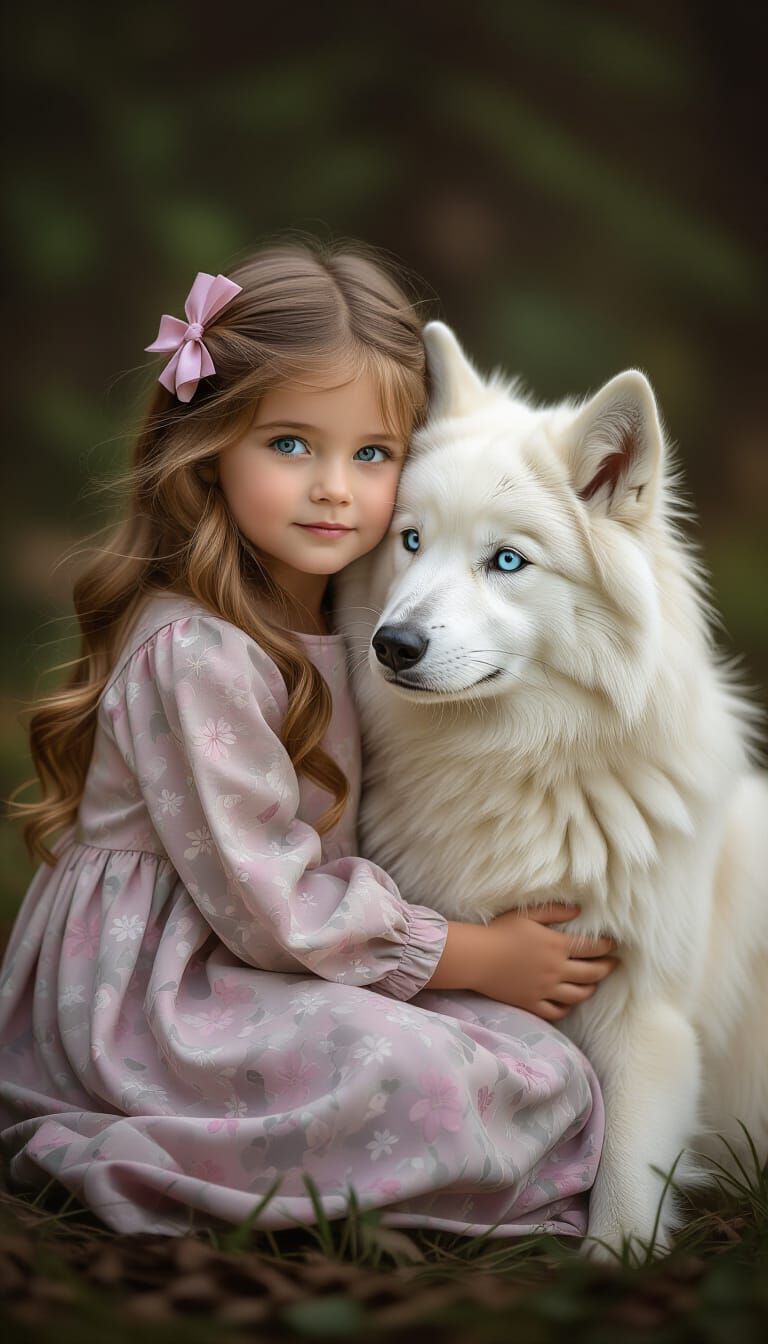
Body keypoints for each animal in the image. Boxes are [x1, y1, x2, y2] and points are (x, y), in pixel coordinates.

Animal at [334, 320, 768, 1257]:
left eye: (508, 561)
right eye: (410, 540)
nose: (393, 646)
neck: (523, 765)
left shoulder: (646, 1016)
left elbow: (627, 1188)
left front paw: (612, 1264)